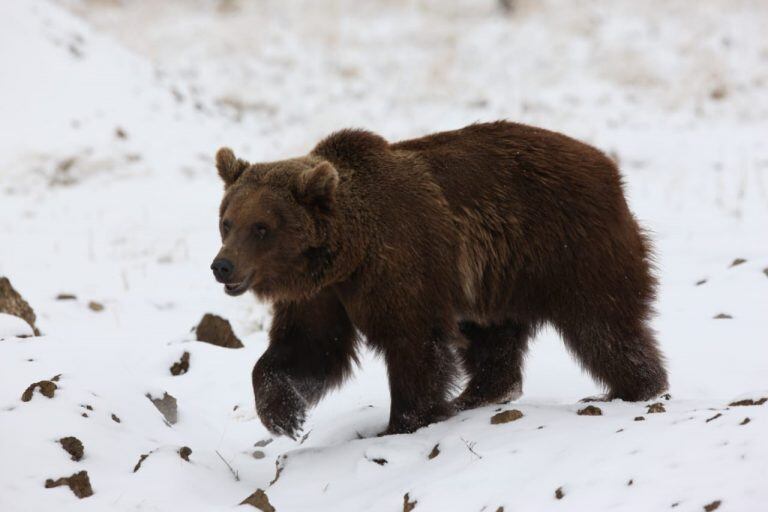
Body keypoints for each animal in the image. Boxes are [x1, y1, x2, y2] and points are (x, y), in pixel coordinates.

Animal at [208, 122, 664, 438]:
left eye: (262, 227)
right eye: (227, 221)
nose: (222, 266)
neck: (349, 252)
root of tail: (608, 167)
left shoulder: (400, 265)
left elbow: (415, 343)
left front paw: (405, 421)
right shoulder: (321, 295)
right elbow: (309, 347)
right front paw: (284, 416)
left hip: (568, 247)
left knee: (601, 324)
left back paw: (632, 388)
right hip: (494, 278)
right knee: (493, 336)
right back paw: (477, 394)